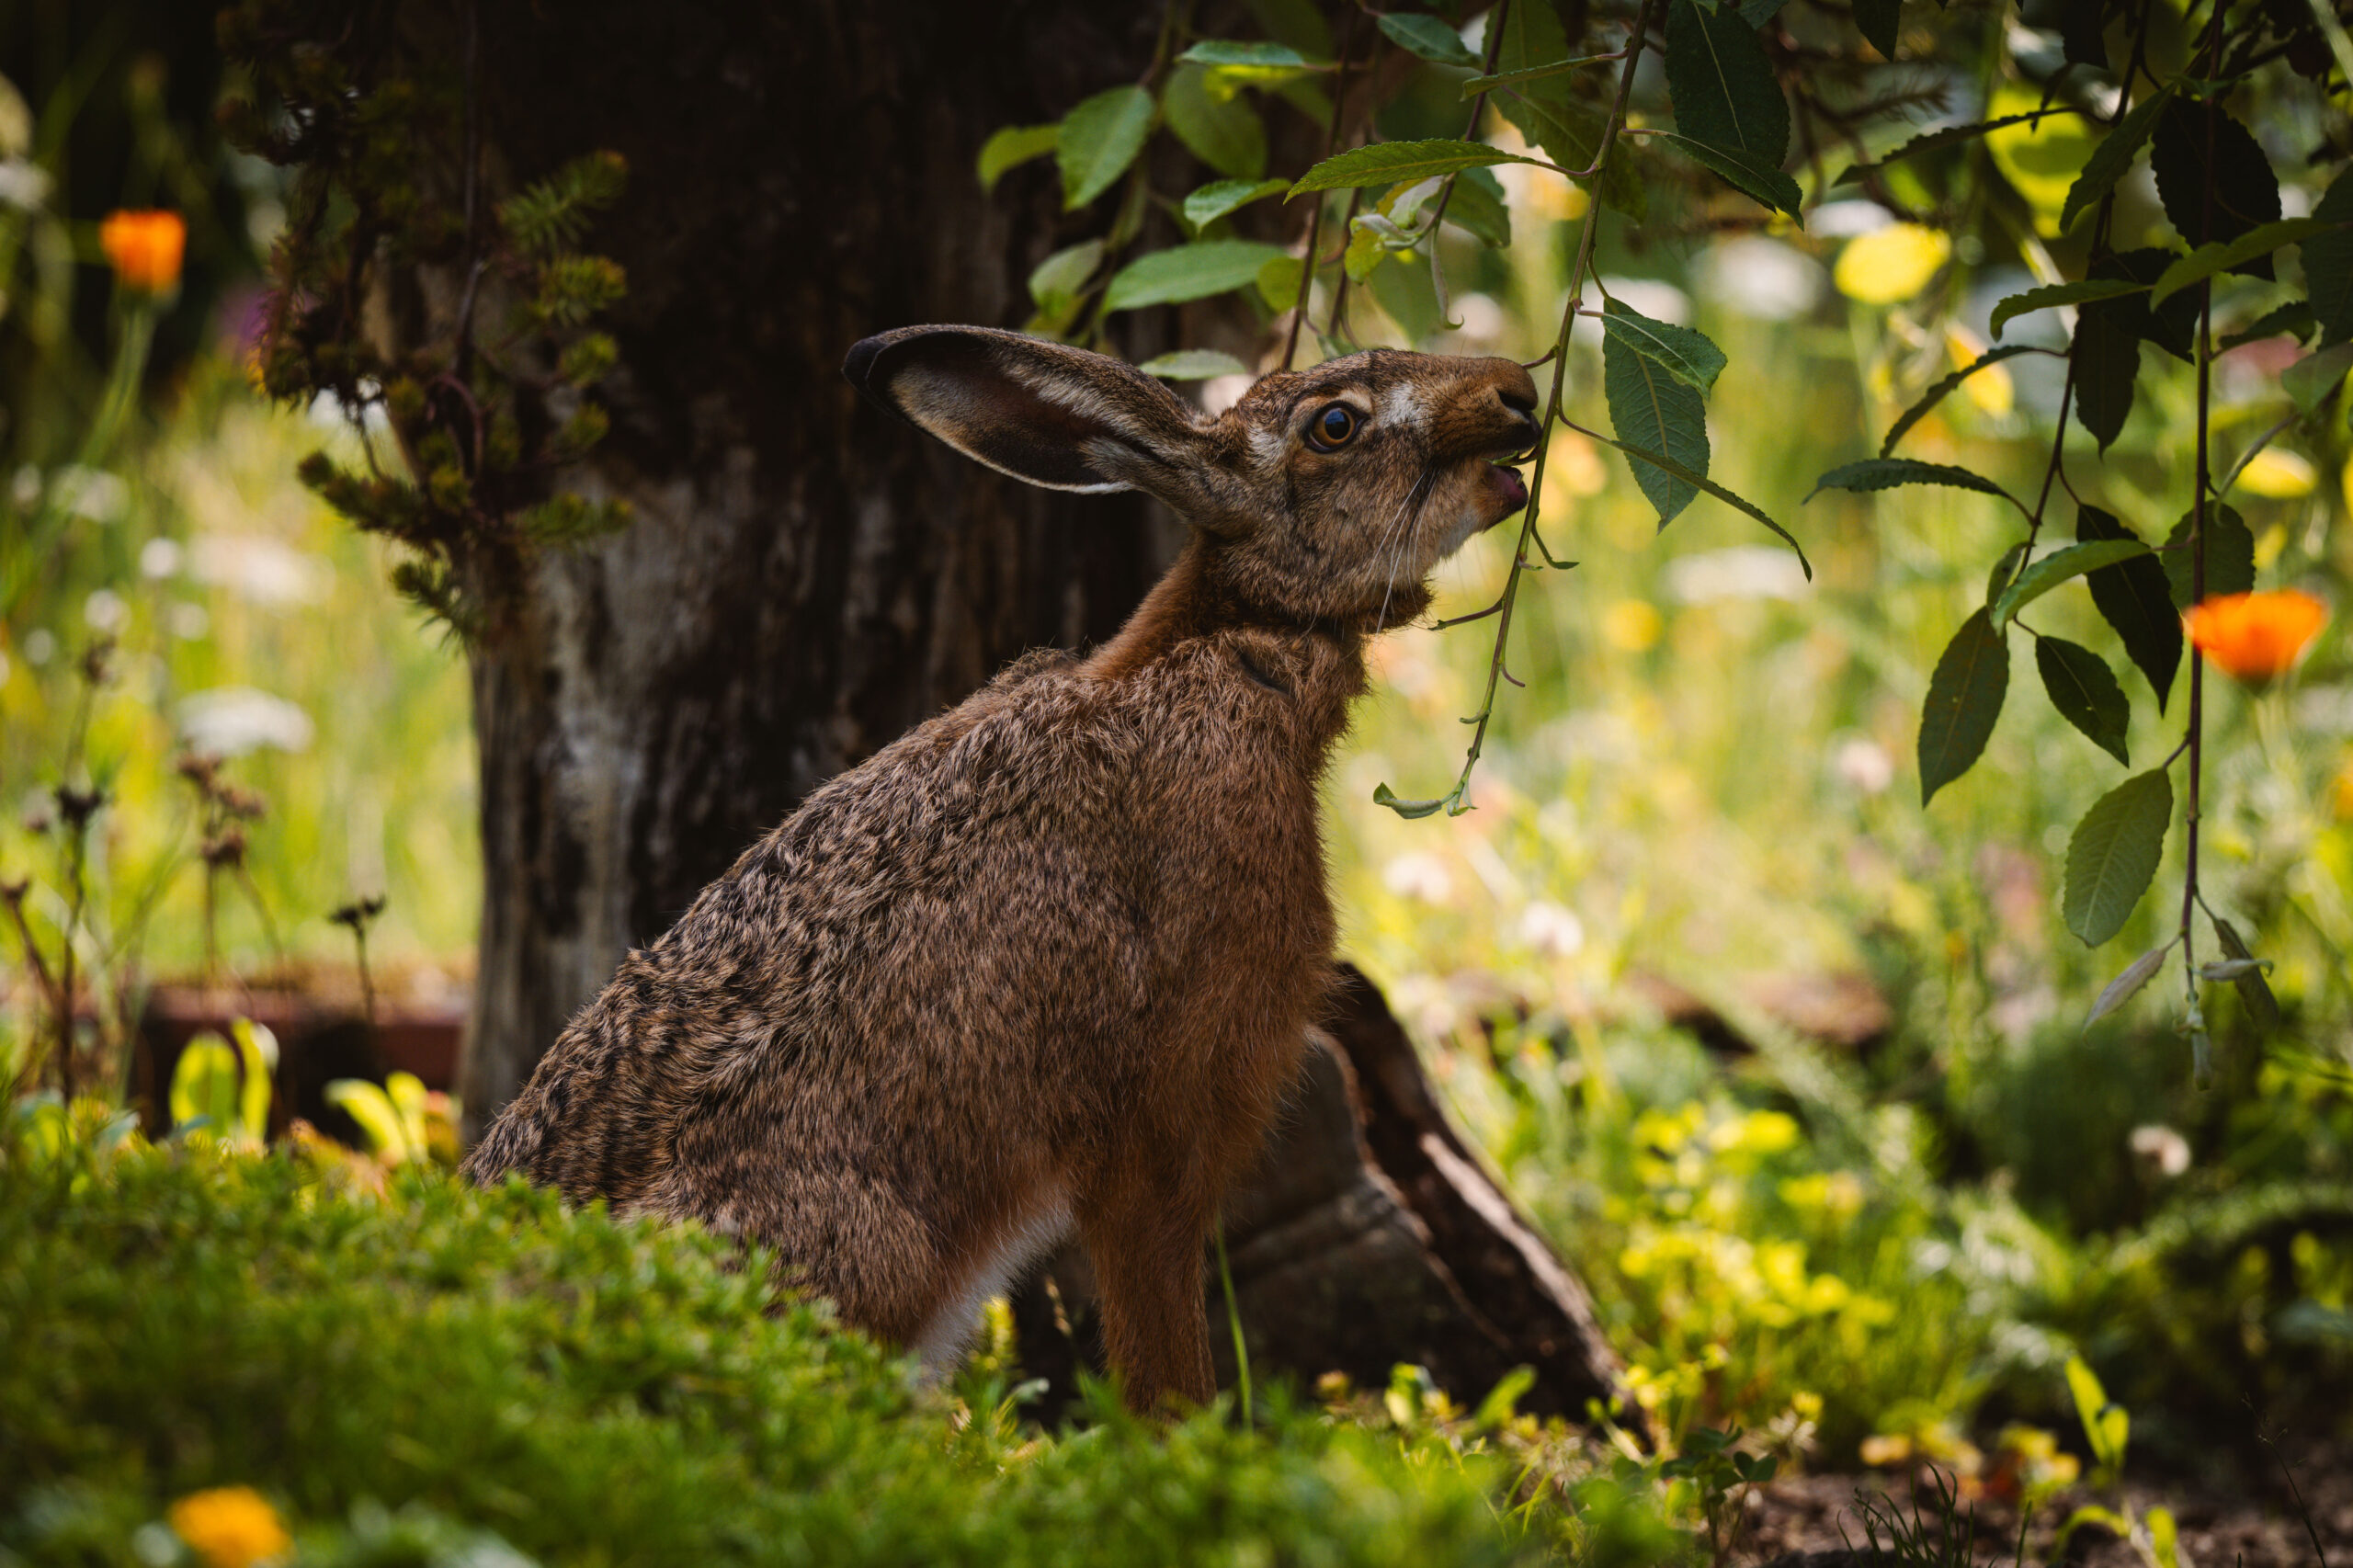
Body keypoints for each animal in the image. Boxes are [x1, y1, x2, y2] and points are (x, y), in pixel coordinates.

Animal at [464, 324, 1540, 1414]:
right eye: (1335, 425)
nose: (1518, 394)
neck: (1240, 641)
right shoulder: (1162, 1128)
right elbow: (1160, 1335)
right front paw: (1189, 1436)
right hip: (854, 1242)